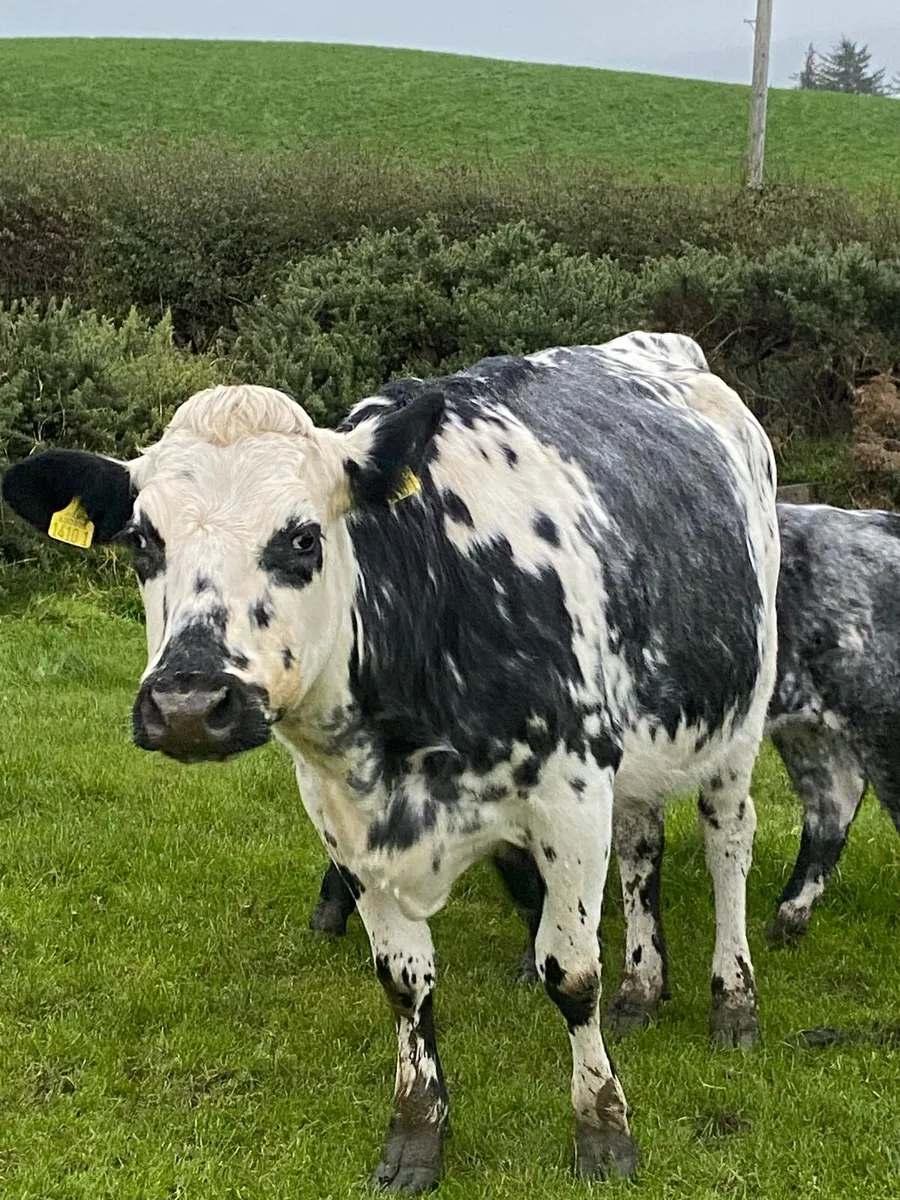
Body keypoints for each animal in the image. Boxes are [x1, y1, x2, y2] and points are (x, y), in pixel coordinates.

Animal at [2, 332, 780, 1191]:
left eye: (302, 536)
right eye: (143, 541)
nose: (188, 706)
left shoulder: (571, 795)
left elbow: (572, 973)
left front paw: (603, 1129)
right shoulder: (342, 816)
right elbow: (405, 984)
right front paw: (415, 1134)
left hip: (739, 722)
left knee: (727, 846)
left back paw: (733, 999)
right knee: (644, 848)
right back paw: (644, 988)